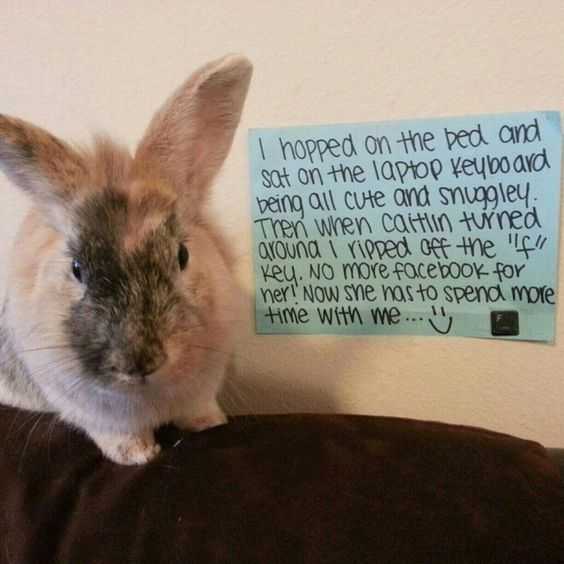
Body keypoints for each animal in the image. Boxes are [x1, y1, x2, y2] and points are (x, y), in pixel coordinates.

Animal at [0, 54, 252, 462]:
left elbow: (198, 410)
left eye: (182, 255)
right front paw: (139, 456)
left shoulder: (201, 388)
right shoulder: (93, 414)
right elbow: (119, 435)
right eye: (77, 269)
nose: (139, 362)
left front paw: (211, 424)